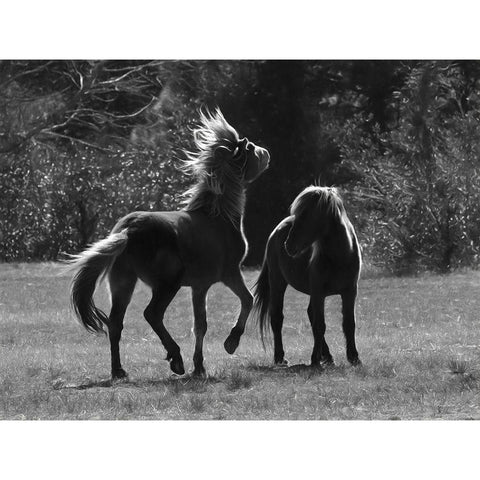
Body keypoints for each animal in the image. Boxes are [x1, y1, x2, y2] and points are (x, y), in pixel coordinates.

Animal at [67, 109, 270, 378]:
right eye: (251, 149)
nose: (266, 153)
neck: (218, 216)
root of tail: (129, 229)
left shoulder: (200, 286)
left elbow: (200, 324)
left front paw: (200, 366)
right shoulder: (230, 274)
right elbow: (247, 300)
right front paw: (231, 342)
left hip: (123, 284)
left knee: (115, 323)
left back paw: (119, 370)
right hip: (167, 284)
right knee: (152, 314)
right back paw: (175, 359)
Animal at [253, 186, 362, 366]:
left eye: (306, 214)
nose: (288, 245)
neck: (340, 257)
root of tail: (276, 230)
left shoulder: (350, 292)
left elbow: (349, 323)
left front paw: (354, 357)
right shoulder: (319, 292)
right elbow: (320, 325)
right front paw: (315, 359)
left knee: (310, 314)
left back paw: (328, 356)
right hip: (277, 283)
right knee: (277, 317)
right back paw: (280, 357)